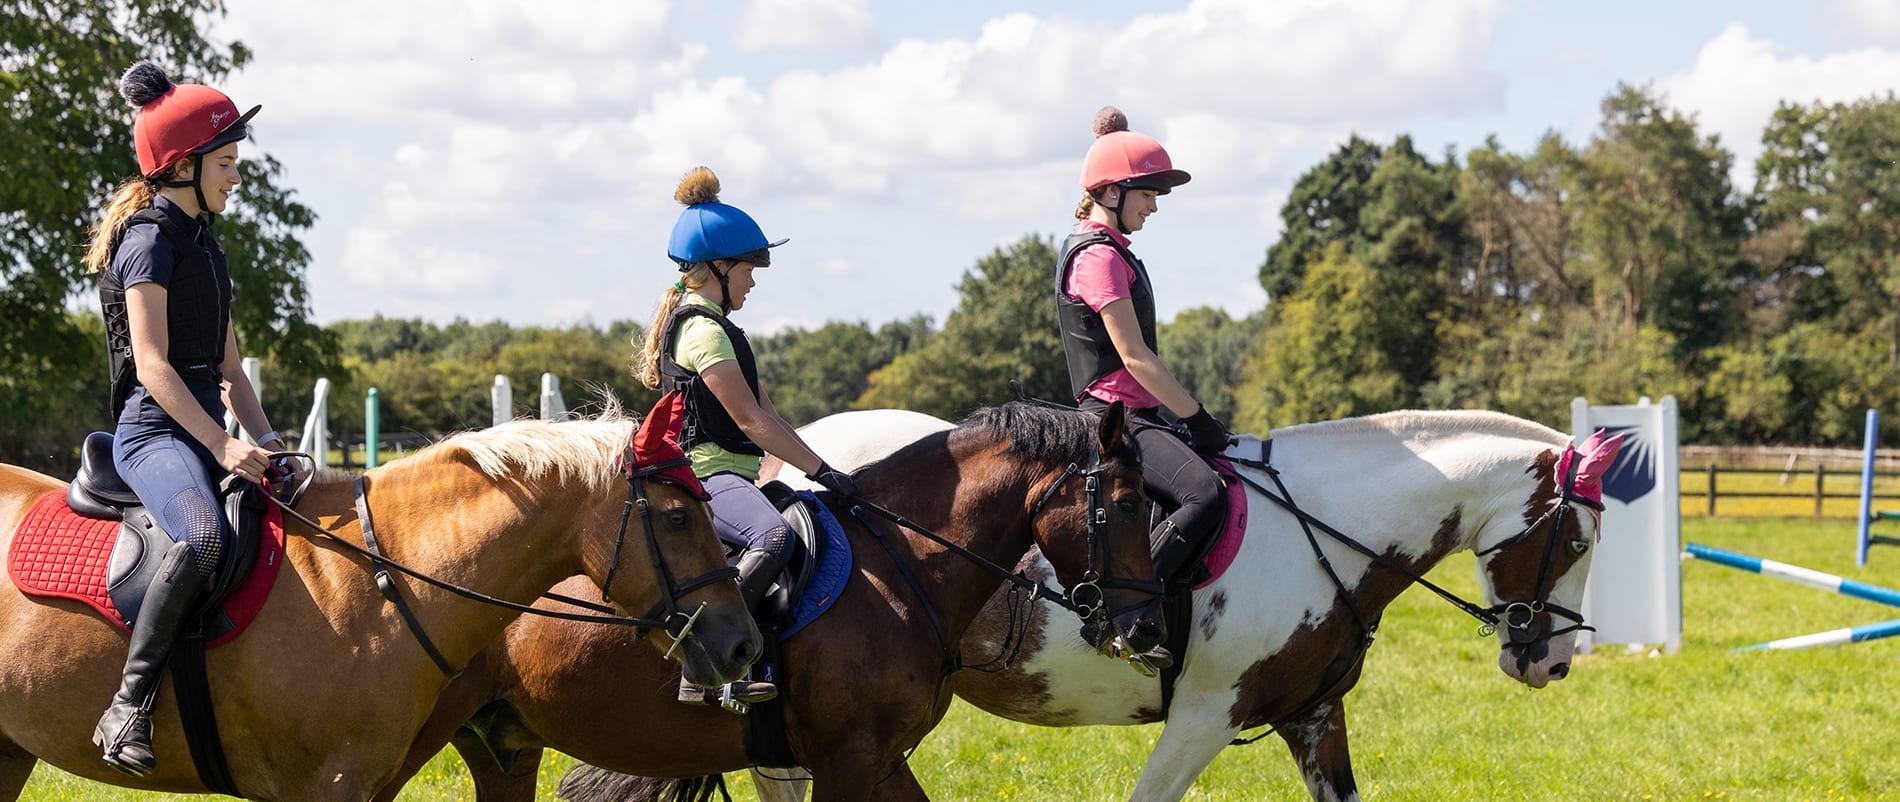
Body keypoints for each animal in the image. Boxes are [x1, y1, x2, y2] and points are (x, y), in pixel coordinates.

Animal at [378, 401, 1162, 802]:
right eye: (1128, 504)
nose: (1147, 626)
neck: (900, 565)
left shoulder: (880, 760)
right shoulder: (845, 759)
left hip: (501, 746)